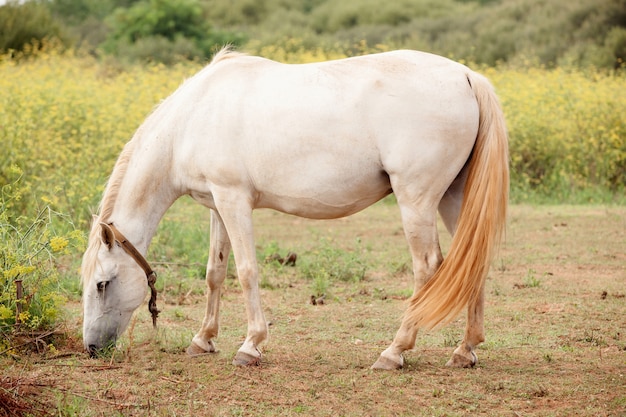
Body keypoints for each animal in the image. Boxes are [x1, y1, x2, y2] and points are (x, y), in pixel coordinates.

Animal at [80, 47, 508, 368]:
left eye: (102, 283)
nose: (92, 348)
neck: (193, 118)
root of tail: (466, 76)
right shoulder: (217, 205)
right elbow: (215, 273)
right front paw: (203, 340)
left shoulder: (234, 200)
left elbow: (246, 271)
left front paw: (250, 345)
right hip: (454, 198)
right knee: (473, 261)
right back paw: (465, 350)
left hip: (416, 201)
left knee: (428, 268)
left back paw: (394, 351)